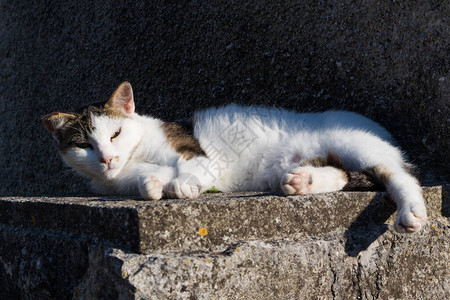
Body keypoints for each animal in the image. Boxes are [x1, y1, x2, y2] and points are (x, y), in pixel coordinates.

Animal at [43, 81, 428, 233]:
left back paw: (411, 212)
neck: (134, 158)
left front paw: (182, 186)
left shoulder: (195, 153)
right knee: (344, 173)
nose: (107, 158)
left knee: (400, 175)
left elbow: (190, 169)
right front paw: (151, 185)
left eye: (115, 134)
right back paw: (304, 181)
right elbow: (146, 182)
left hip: (354, 143)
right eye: (85, 146)